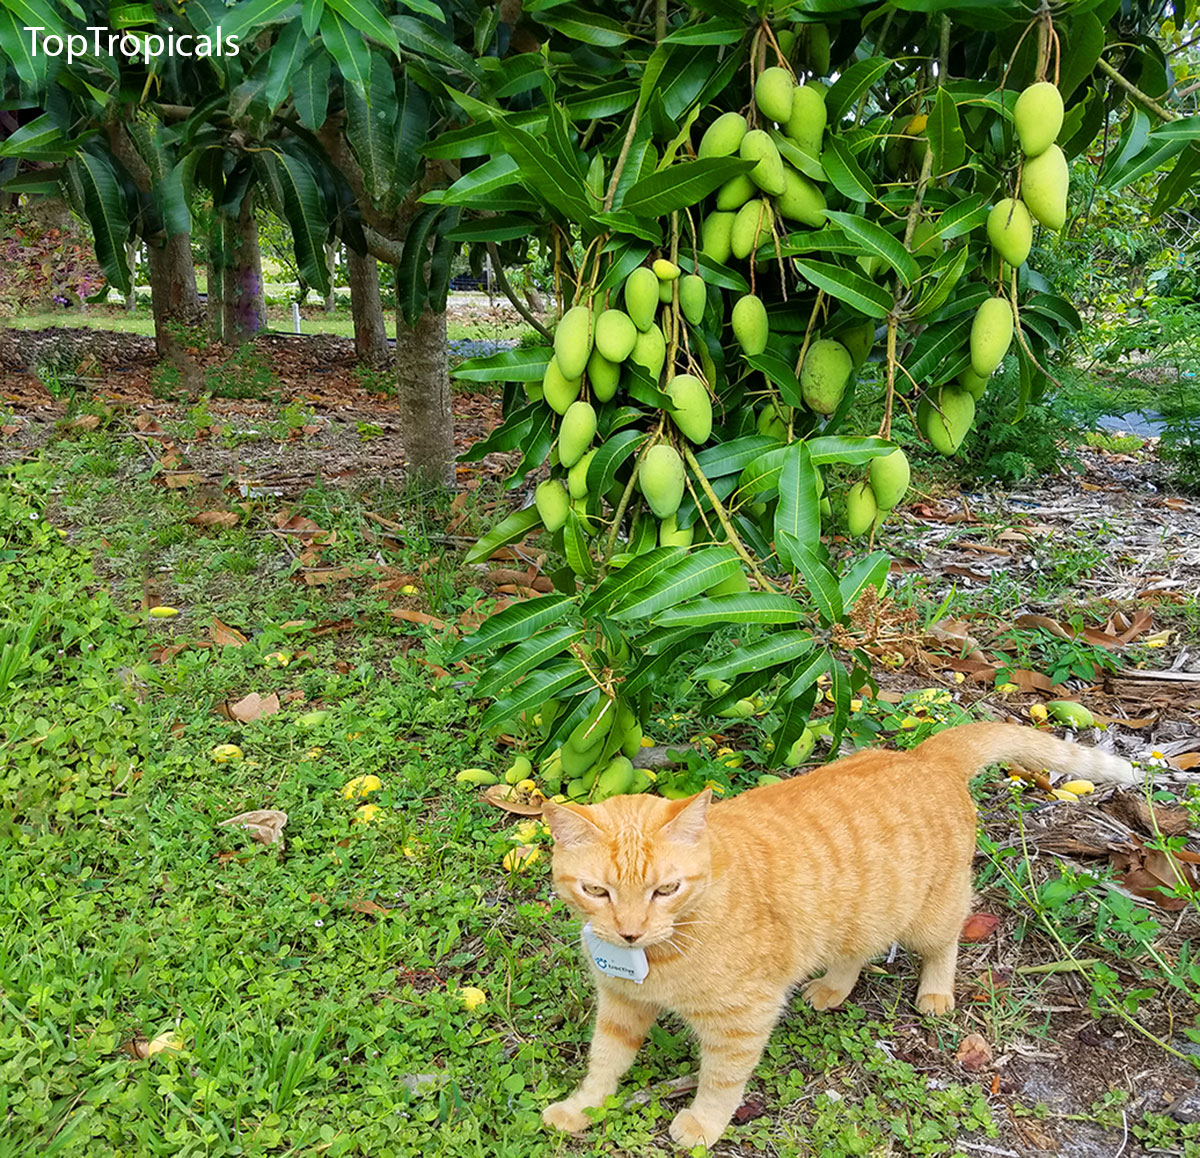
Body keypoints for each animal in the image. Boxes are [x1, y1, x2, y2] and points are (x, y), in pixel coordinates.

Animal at [540, 724, 1137, 1147]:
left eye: (665, 890)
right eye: (597, 891)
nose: (630, 931)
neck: (659, 955)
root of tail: (923, 756)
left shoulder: (741, 1020)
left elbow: (721, 1081)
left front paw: (702, 1126)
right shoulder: (619, 1006)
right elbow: (604, 1063)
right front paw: (581, 1108)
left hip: (930, 914)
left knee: (944, 944)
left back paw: (935, 992)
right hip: (858, 915)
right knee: (854, 952)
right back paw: (832, 988)